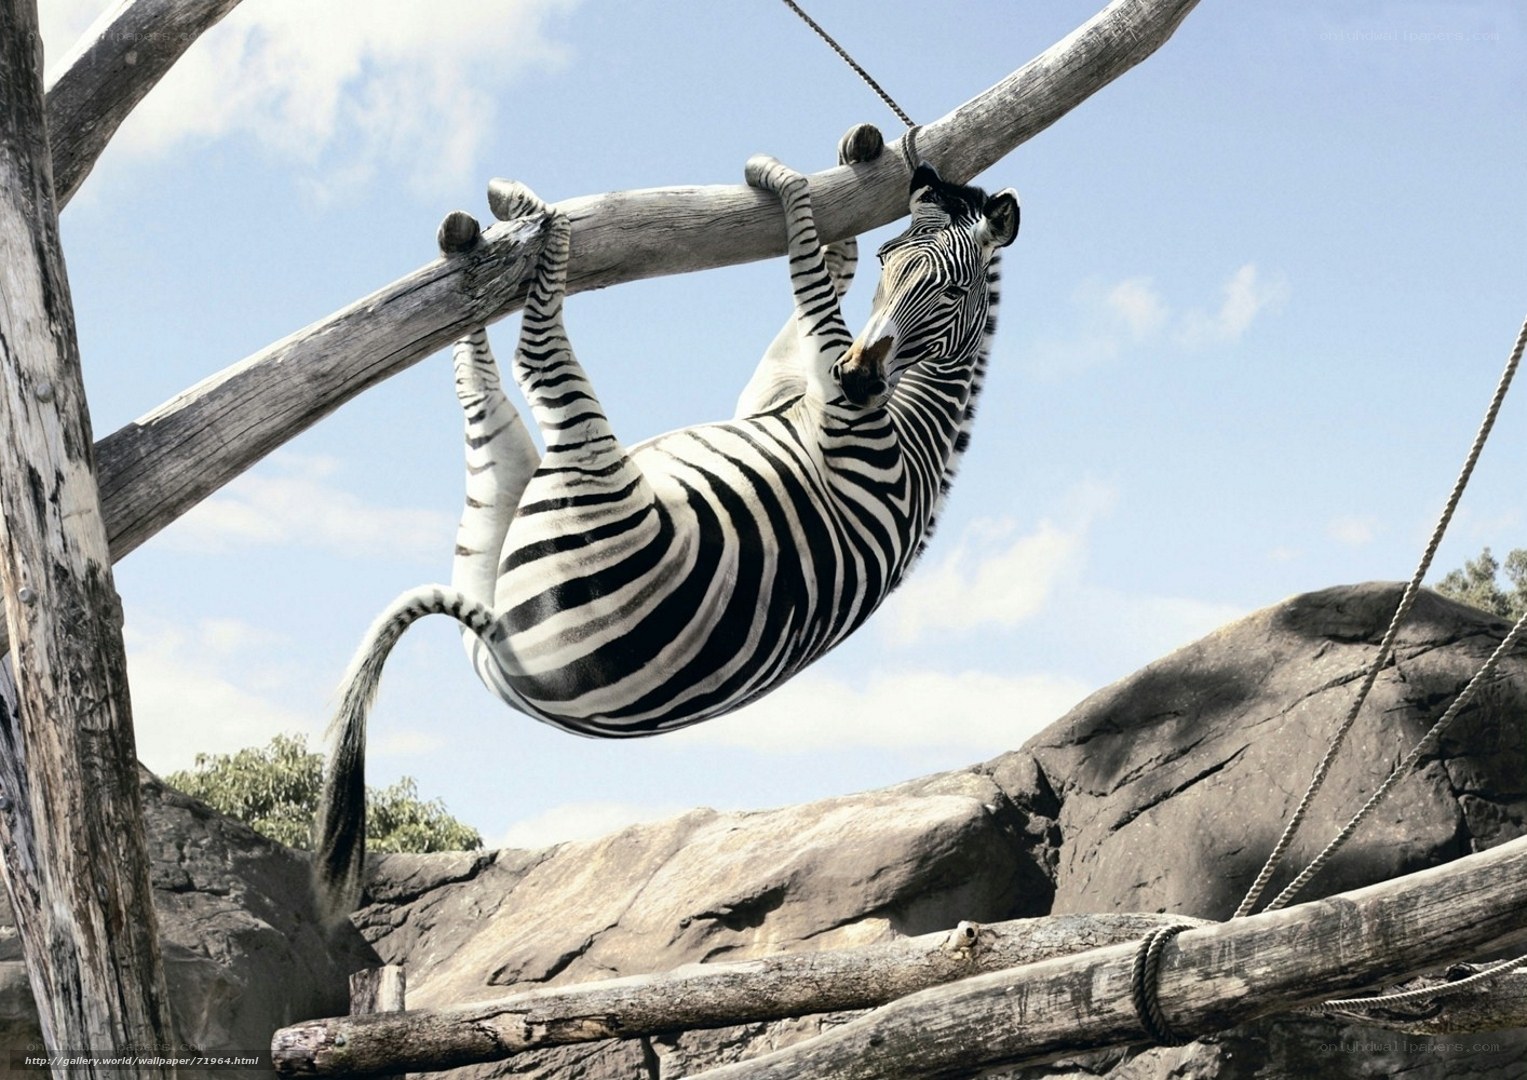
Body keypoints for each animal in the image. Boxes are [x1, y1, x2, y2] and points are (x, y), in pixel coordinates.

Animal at [315, 123, 1019, 920]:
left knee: (535, 354)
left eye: (952, 289)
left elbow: (808, 280)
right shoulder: (779, 390)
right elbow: (816, 280)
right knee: (478, 383)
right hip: (491, 513)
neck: (913, 424)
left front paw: (779, 179)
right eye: (889, 261)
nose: (858, 375)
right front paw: (838, 170)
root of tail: (502, 648)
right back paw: (471, 252)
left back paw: (534, 219)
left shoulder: (842, 420)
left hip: (582, 474)